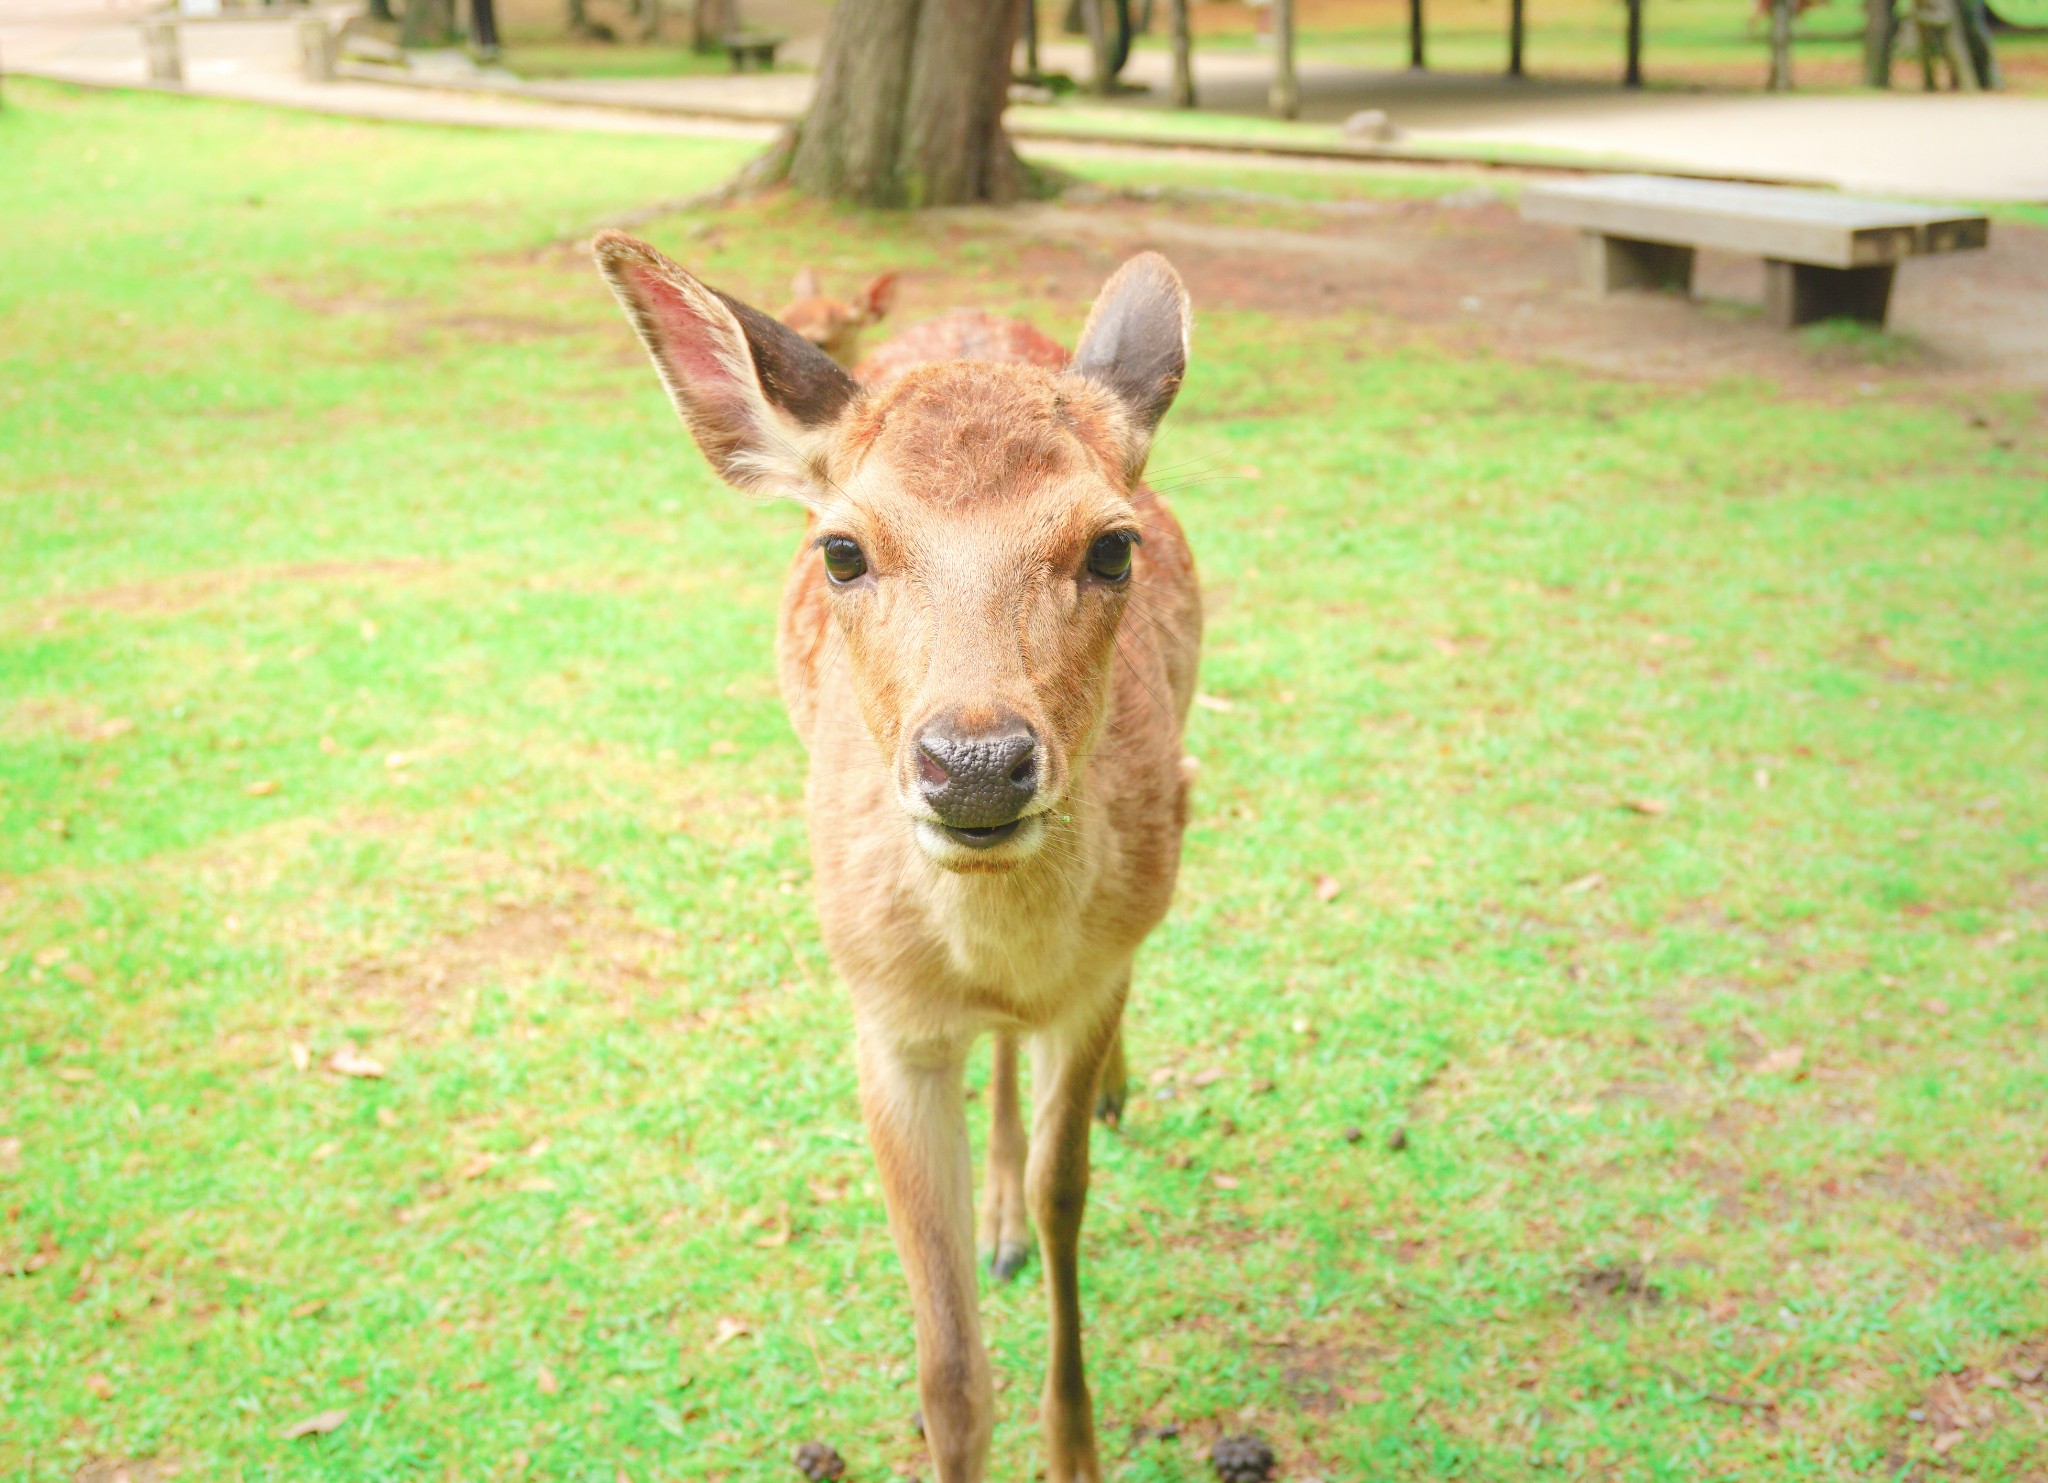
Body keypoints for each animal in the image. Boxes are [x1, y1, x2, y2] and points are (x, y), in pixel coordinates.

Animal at [593, 231, 1196, 1483]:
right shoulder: (881, 1015)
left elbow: (1069, 1195)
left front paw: (1074, 1447)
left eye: (1111, 546)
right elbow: (948, 1368)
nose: (974, 764)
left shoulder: (1093, 975)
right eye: (841, 549)